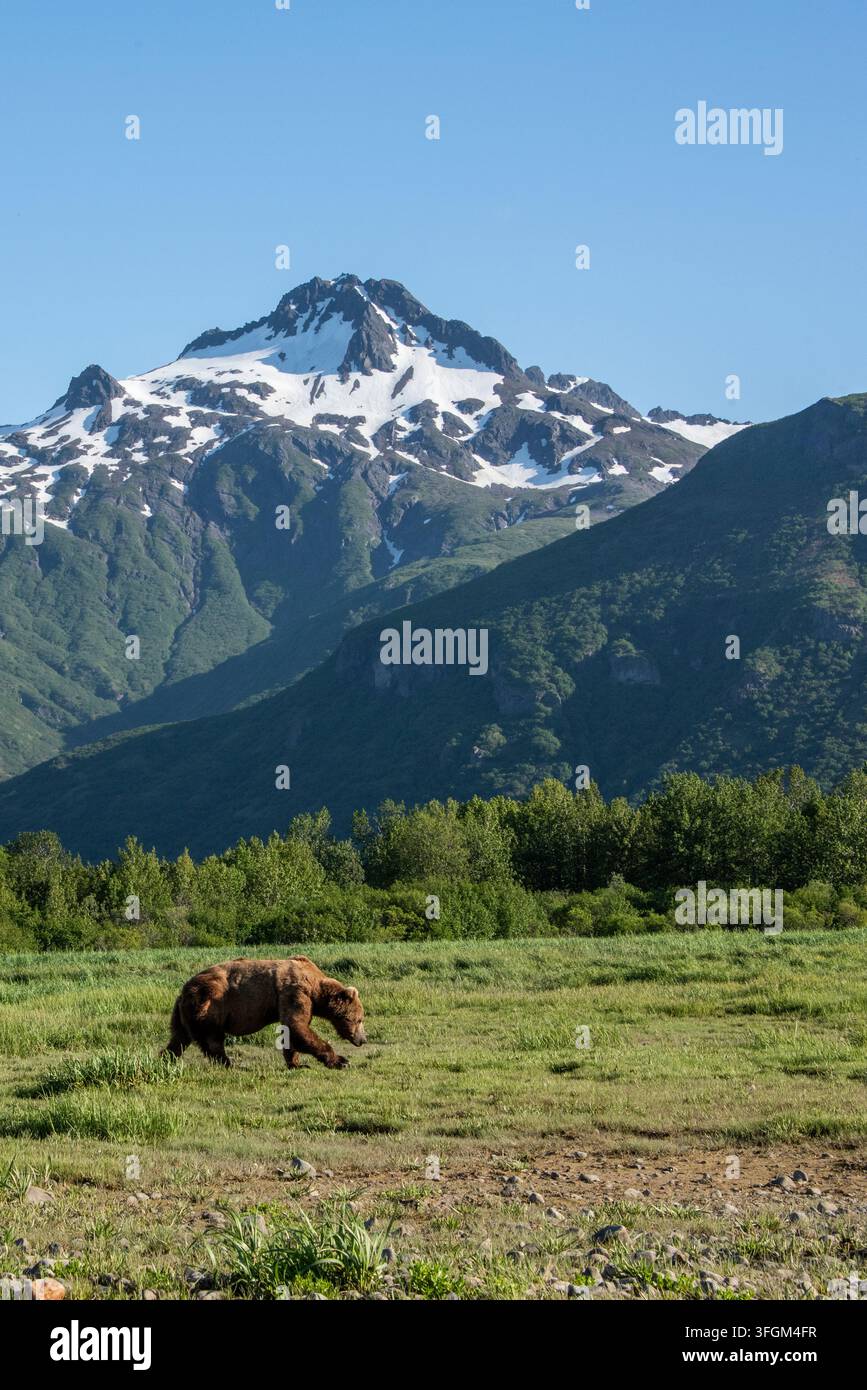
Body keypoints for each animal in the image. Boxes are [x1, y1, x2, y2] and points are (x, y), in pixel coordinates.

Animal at [162, 956, 367, 1070]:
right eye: (359, 1020)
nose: (363, 1039)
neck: (315, 988)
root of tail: (183, 991)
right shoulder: (294, 992)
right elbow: (297, 1026)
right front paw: (341, 1061)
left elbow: (290, 1030)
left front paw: (297, 1063)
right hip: (210, 1004)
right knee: (212, 1039)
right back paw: (228, 1063)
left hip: (183, 1013)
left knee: (179, 1038)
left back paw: (166, 1058)